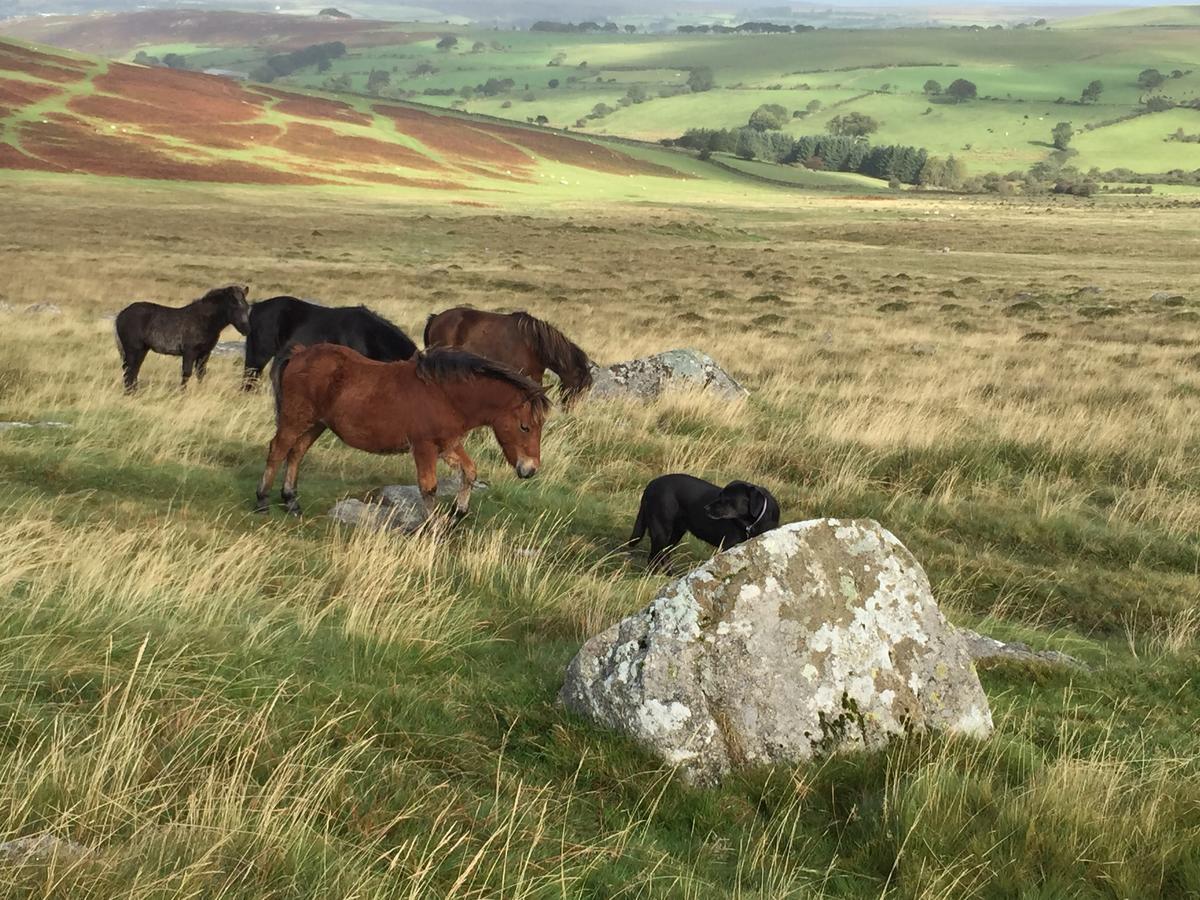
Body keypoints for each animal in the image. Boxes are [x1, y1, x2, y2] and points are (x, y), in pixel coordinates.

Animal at [115, 283, 249, 393]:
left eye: (247, 306)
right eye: (234, 305)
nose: (246, 329)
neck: (204, 320)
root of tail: (121, 314)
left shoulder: (205, 353)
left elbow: (201, 374)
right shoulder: (190, 352)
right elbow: (186, 373)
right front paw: (182, 394)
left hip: (142, 350)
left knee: (134, 369)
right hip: (133, 349)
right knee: (130, 370)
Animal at [260, 345, 549, 518]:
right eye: (525, 426)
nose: (530, 470)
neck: (445, 395)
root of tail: (299, 353)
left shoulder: (448, 445)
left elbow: (469, 471)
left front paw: (458, 512)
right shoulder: (424, 447)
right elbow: (429, 488)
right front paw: (435, 528)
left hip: (316, 424)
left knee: (296, 453)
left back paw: (291, 501)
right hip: (295, 419)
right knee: (278, 450)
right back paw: (262, 500)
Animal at [624, 475, 782, 566]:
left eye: (727, 499)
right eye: (719, 495)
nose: (705, 508)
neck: (752, 522)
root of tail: (651, 484)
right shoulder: (727, 546)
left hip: (675, 532)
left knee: (665, 556)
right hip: (661, 530)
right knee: (654, 558)